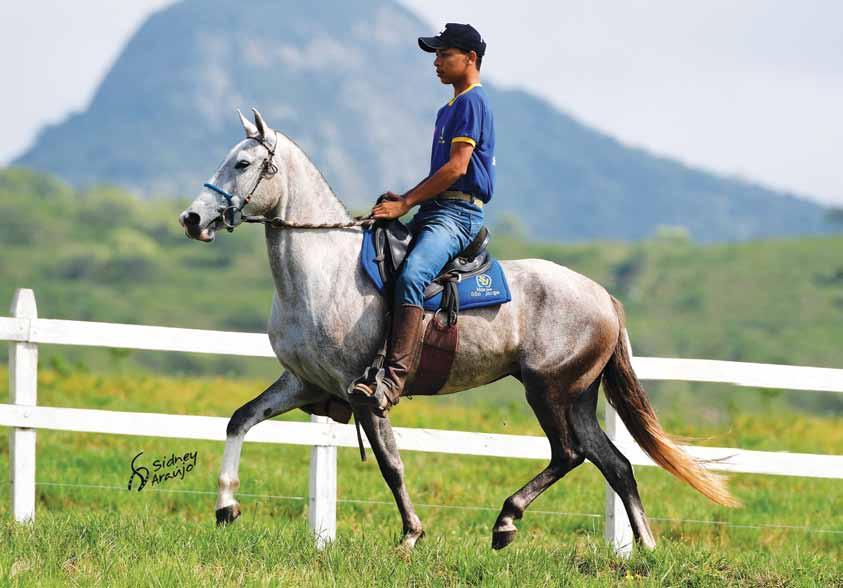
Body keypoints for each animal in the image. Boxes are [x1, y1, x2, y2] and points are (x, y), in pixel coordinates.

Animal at [181, 109, 736, 552]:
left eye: (243, 164)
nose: (191, 219)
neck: (324, 272)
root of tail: (605, 298)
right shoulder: (304, 382)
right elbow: (240, 419)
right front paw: (226, 505)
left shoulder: (365, 395)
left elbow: (391, 465)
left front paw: (410, 535)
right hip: (578, 397)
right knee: (615, 464)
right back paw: (643, 550)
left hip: (548, 390)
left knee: (570, 454)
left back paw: (507, 522)